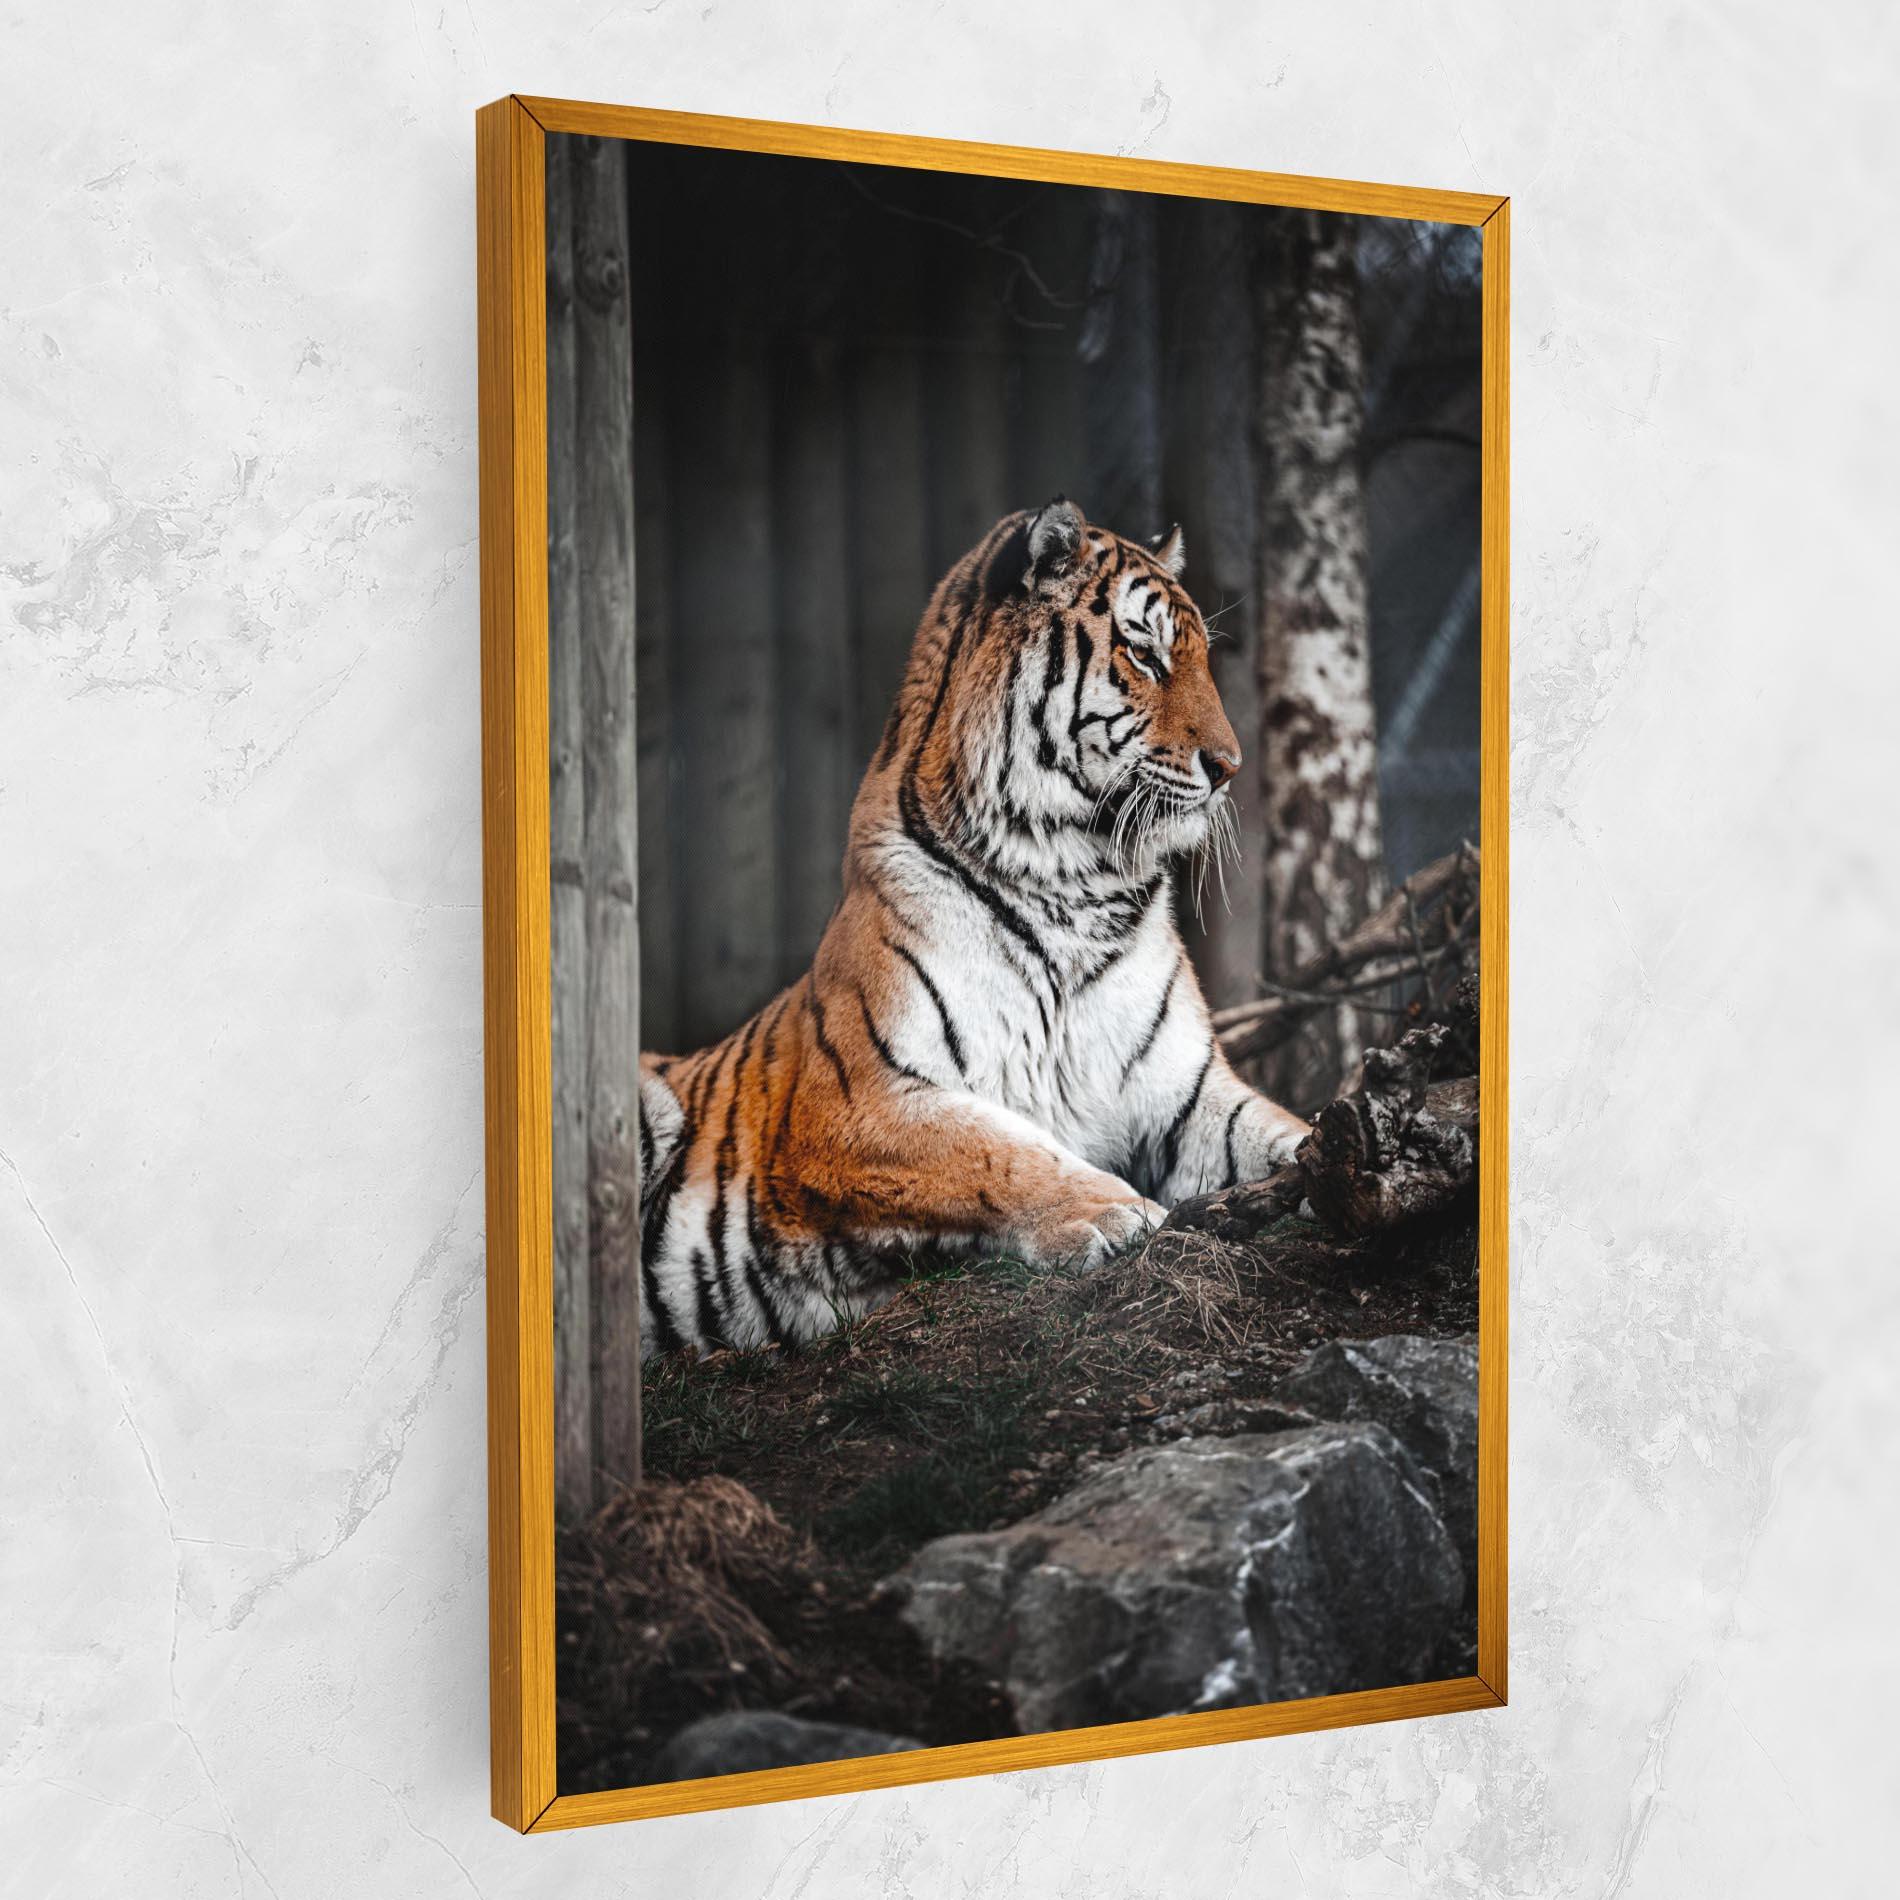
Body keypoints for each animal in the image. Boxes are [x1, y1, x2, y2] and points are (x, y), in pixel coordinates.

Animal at [635, 497, 1309, 1356]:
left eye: (1199, 660)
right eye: (1144, 653)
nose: (1230, 768)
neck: (1078, 886)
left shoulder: (1190, 1097)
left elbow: (1278, 1129)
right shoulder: (856, 1102)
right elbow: (996, 1148)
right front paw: (1115, 1211)